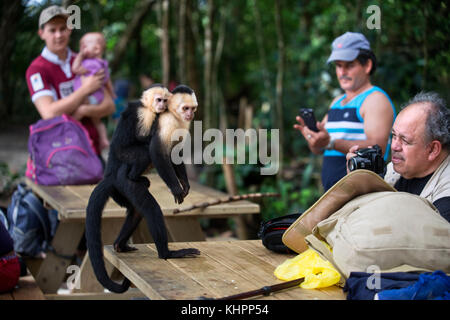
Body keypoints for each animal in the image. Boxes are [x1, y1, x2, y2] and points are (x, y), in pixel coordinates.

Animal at [85, 84, 200, 292]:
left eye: (192, 108)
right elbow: (157, 151)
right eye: (185, 108)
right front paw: (176, 188)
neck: (174, 114)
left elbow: (175, 153)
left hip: (120, 191)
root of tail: (112, 175)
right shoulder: (167, 121)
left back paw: (119, 245)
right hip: (124, 182)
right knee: (150, 206)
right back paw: (167, 253)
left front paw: (185, 185)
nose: (190, 114)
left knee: (137, 211)